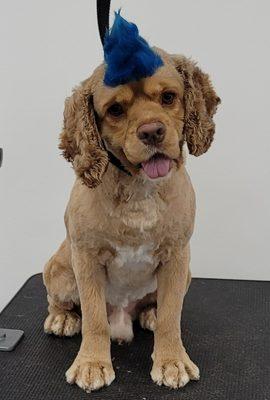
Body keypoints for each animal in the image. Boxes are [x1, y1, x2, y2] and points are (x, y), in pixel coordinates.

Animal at [42, 13, 219, 394]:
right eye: (115, 110)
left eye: (168, 97)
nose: (152, 131)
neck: (140, 188)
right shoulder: (86, 257)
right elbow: (94, 317)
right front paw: (92, 364)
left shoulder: (177, 255)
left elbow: (171, 316)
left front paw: (171, 360)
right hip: (58, 269)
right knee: (63, 301)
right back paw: (62, 318)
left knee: (159, 307)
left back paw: (148, 312)